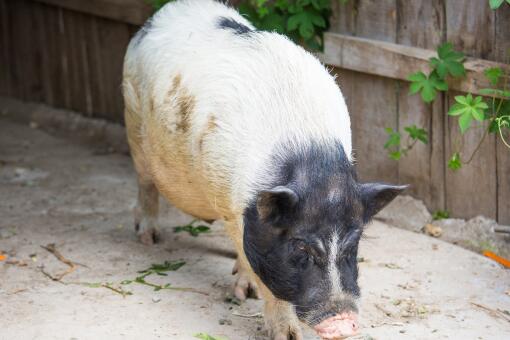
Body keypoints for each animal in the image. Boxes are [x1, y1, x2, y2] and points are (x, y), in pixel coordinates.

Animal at [122, 1, 406, 338]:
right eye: (300, 247)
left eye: (353, 245)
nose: (343, 323)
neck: (311, 155)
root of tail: (163, 14)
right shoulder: (235, 209)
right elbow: (263, 271)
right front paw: (281, 329)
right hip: (133, 119)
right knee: (145, 182)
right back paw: (148, 237)